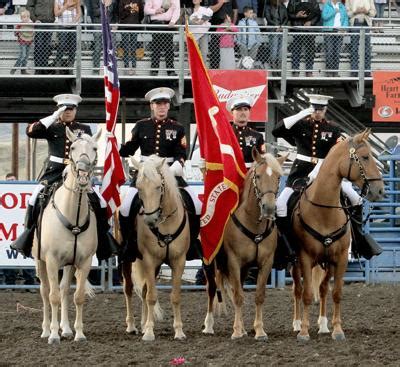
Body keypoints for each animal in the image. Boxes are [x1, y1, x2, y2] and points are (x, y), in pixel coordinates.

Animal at [33, 129, 101, 344]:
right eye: (73, 148)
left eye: (94, 148)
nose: (83, 172)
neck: (73, 215)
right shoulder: (52, 261)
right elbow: (53, 296)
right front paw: (54, 335)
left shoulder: (84, 261)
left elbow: (77, 296)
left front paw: (78, 333)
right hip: (40, 262)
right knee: (45, 291)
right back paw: (46, 330)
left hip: (69, 265)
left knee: (64, 290)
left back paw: (67, 329)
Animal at [205, 150, 286, 342]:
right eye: (258, 176)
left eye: (278, 177)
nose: (269, 208)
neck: (253, 224)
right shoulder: (233, 262)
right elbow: (238, 296)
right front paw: (236, 331)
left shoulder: (266, 263)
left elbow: (259, 295)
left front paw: (259, 330)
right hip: (211, 264)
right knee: (211, 289)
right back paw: (209, 325)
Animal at [290, 129, 384, 342]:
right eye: (365, 157)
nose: (380, 190)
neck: (324, 209)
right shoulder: (305, 258)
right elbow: (307, 294)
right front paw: (304, 331)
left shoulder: (340, 259)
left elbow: (336, 293)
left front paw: (337, 330)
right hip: (296, 264)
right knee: (297, 290)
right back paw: (297, 323)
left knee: (324, 289)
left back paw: (324, 325)